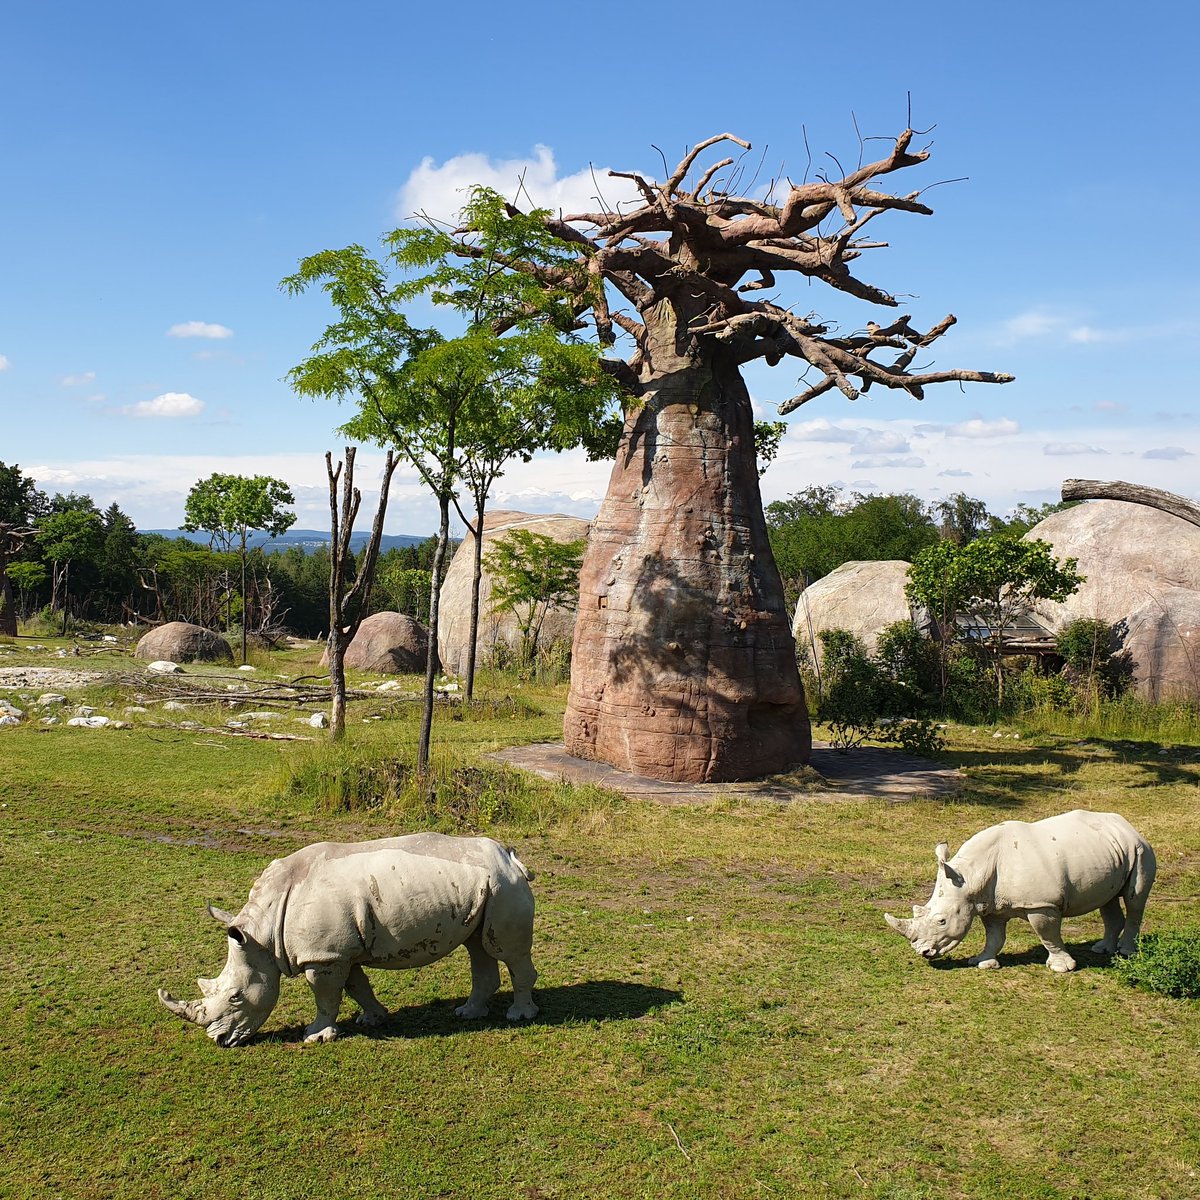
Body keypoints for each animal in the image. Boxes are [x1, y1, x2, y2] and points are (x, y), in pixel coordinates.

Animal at [158, 833, 538, 1047]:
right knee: (478, 947)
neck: (262, 936)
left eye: (236, 997)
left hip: (504, 886)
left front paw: (315, 1036)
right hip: (484, 887)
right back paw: (468, 1014)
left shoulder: (322, 956)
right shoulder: (336, 951)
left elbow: (325, 996)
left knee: (506, 951)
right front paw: (373, 1020)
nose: (219, 1041)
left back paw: (518, 1016)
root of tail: (510, 857)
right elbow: (357, 987)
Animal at [884, 810, 1155, 972]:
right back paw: (1102, 949)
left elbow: (1048, 935)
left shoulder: (1042, 904)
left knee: (1135, 900)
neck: (970, 877)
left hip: (1140, 849)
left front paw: (1061, 968)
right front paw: (982, 962)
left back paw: (1126, 952)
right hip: (1109, 851)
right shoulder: (990, 905)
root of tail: (1127, 825)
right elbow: (994, 936)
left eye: (941, 921)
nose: (923, 952)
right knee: (1107, 901)